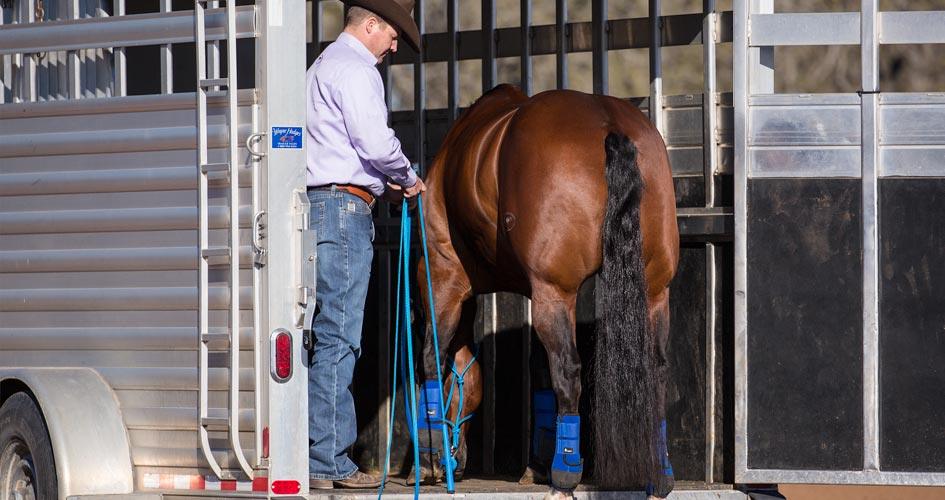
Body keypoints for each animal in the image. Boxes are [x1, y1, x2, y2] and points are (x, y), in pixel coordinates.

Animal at [414, 84, 679, 497]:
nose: (452, 460)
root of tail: (609, 124)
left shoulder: (444, 280)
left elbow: (432, 359)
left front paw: (428, 456)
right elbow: (539, 370)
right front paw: (536, 464)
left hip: (556, 291)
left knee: (569, 371)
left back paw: (566, 475)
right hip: (653, 292)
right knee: (656, 373)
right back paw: (659, 474)